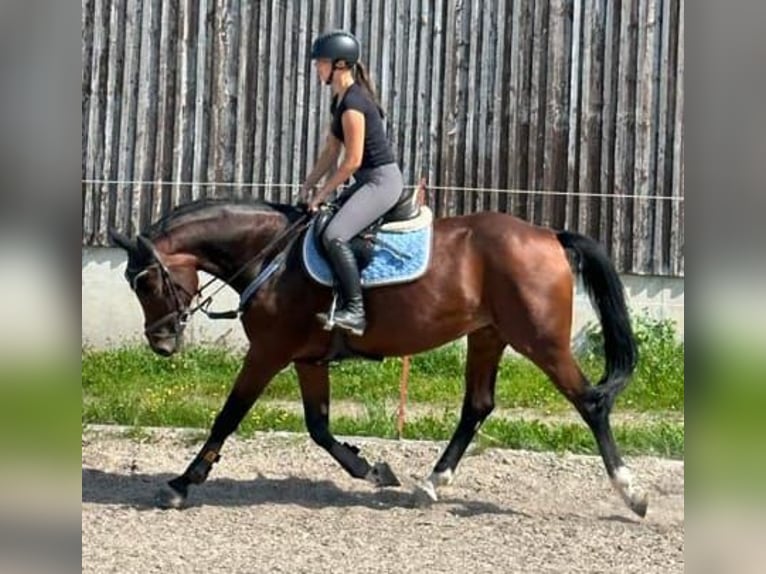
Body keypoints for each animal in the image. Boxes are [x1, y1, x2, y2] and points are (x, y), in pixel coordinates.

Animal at [108, 197, 648, 516]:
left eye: (146, 282)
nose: (161, 343)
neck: (272, 257)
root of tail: (548, 236)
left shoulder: (268, 352)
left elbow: (228, 416)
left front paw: (182, 483)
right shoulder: (306, 359)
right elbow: (319, 427)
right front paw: (371, 470)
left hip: (540, 340)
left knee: (590, 403)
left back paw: (633, 493)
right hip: (488, 335)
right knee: (477, 406)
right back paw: (431, 483)